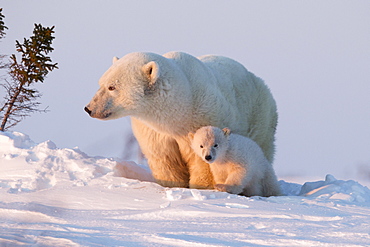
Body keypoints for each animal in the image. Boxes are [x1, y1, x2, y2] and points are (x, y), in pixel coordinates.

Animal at [84, 51, 278, 188]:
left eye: (112, 87)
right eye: (101, 83)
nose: (89, 108)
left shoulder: (204, 116)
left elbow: (203, 160)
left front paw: (201, 187)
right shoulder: (153, 130)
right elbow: (164, 159)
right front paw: (174, 186)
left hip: (260, 114)